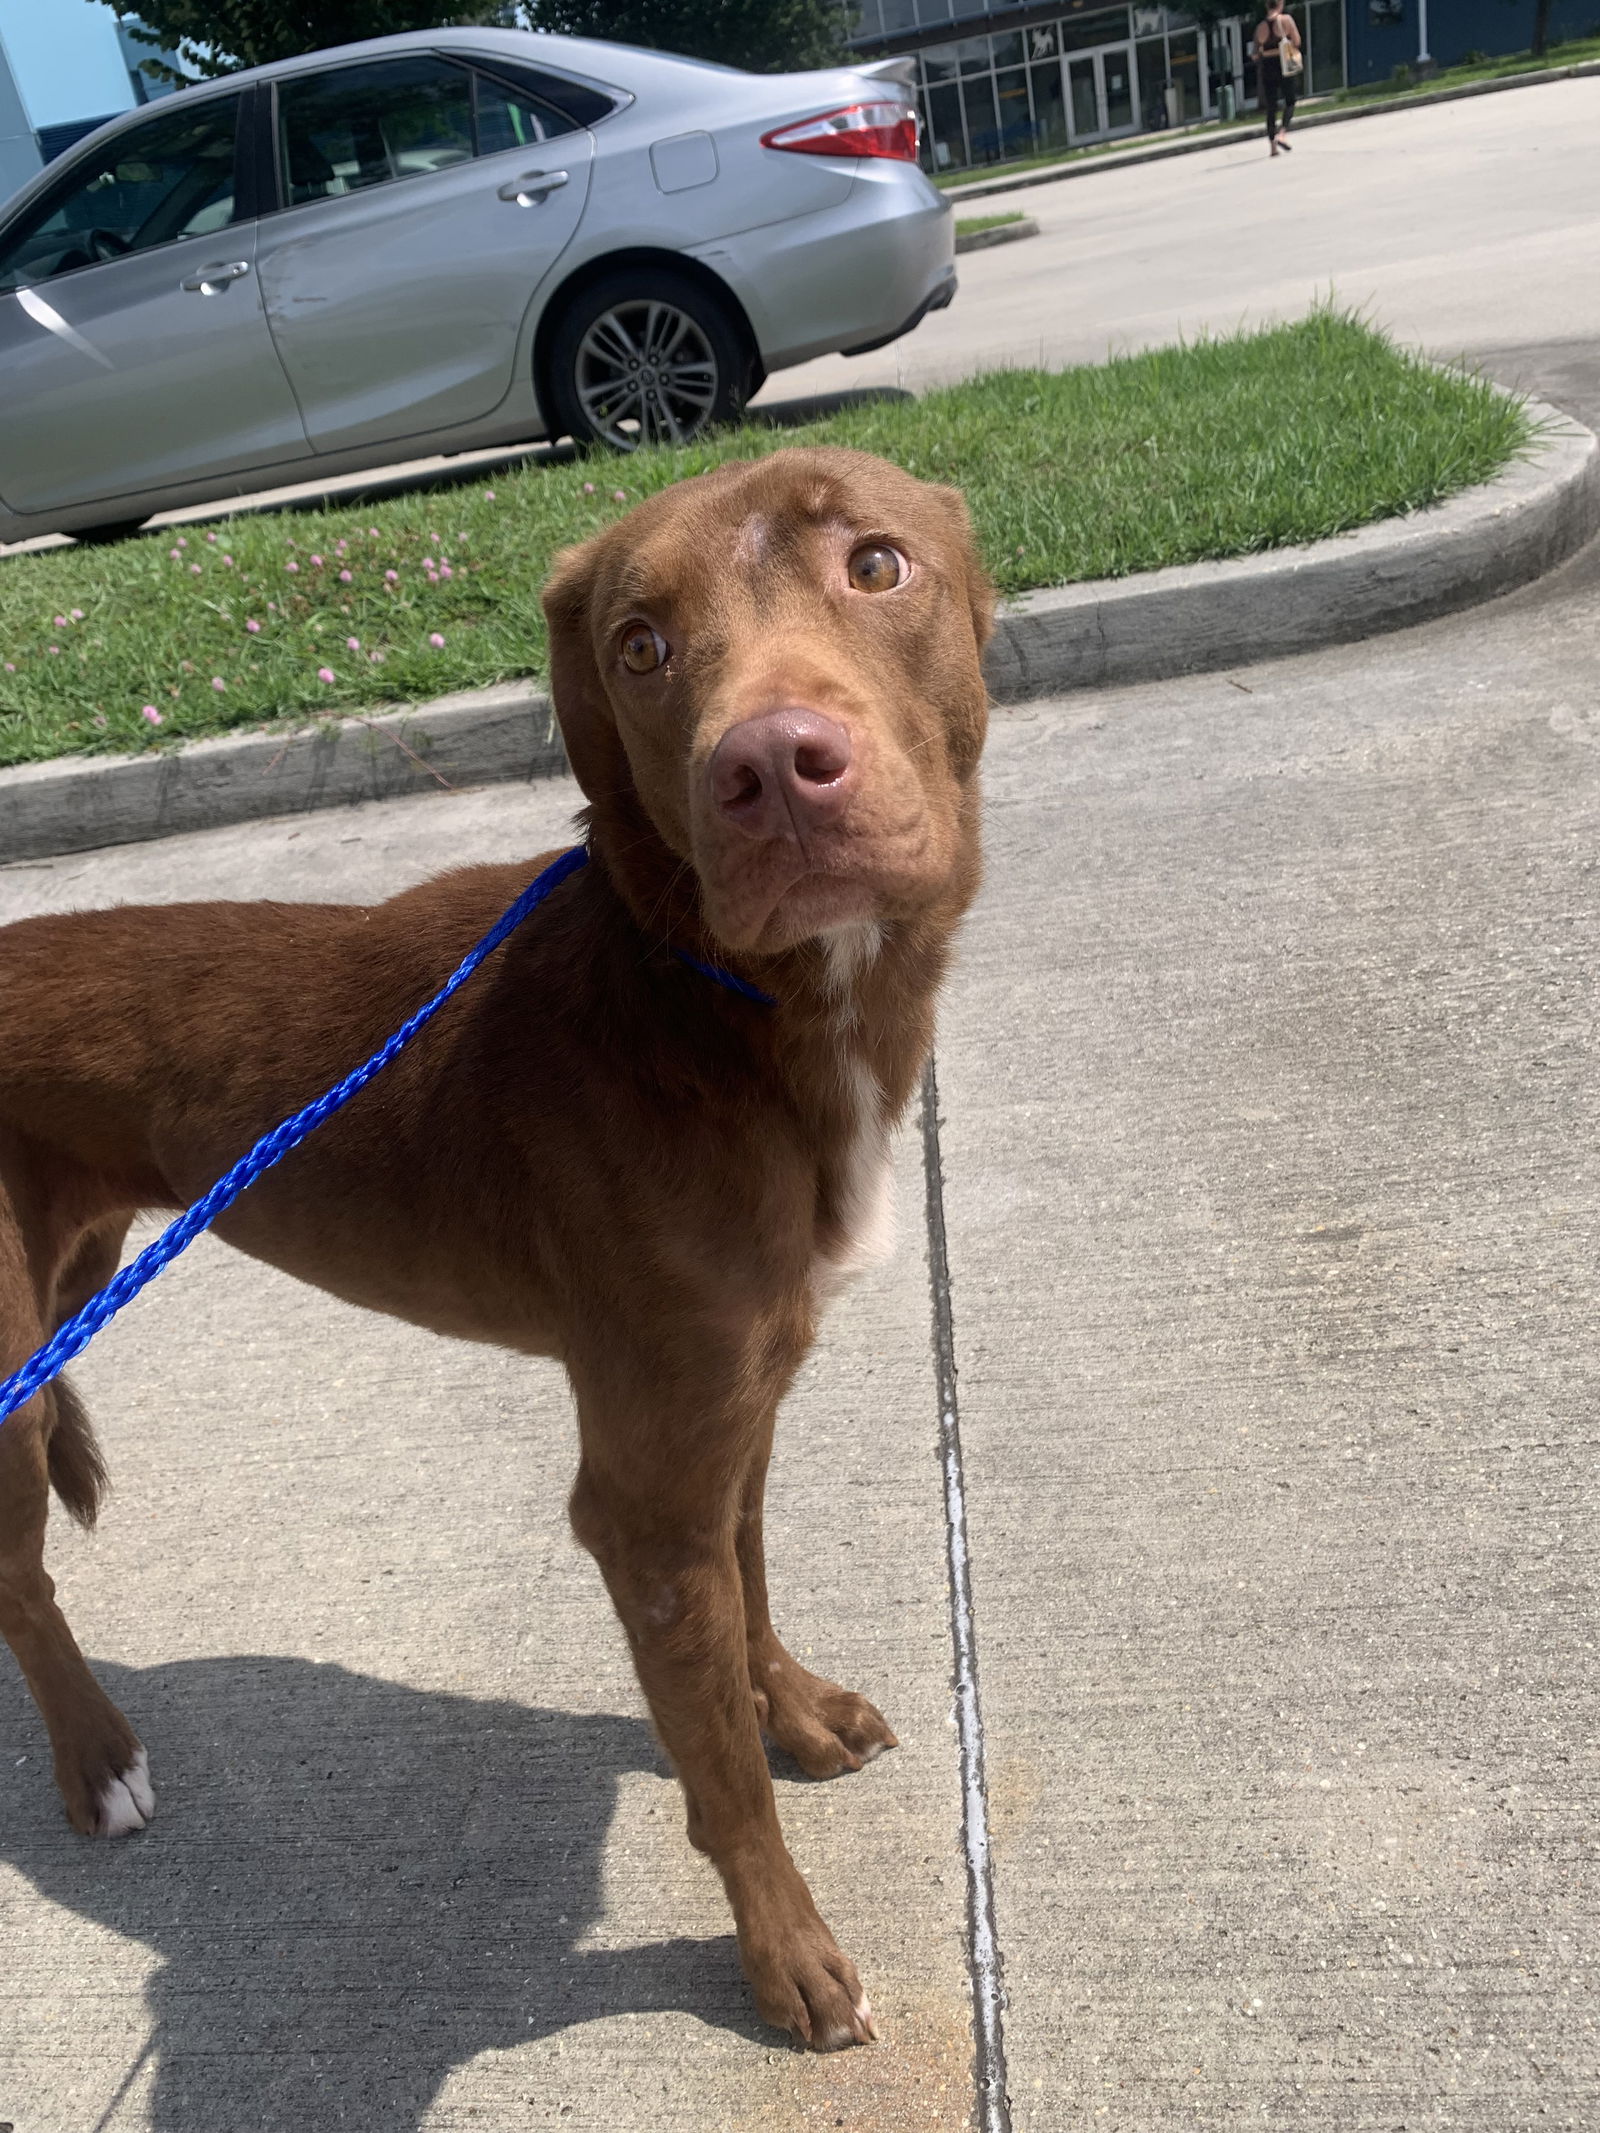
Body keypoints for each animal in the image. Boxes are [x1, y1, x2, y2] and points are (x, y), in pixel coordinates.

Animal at [0, 445, 989, 2047]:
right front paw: (785, 1956)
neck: (707, 998)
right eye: (638, 649)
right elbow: (718, 1777)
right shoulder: (640, 1496)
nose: (771, 769)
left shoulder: (737, 1404)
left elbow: (752, 1598)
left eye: (878, 564)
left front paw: (795, 1712)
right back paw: (98, 1765)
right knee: (20, 1580)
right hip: (10, 1370)